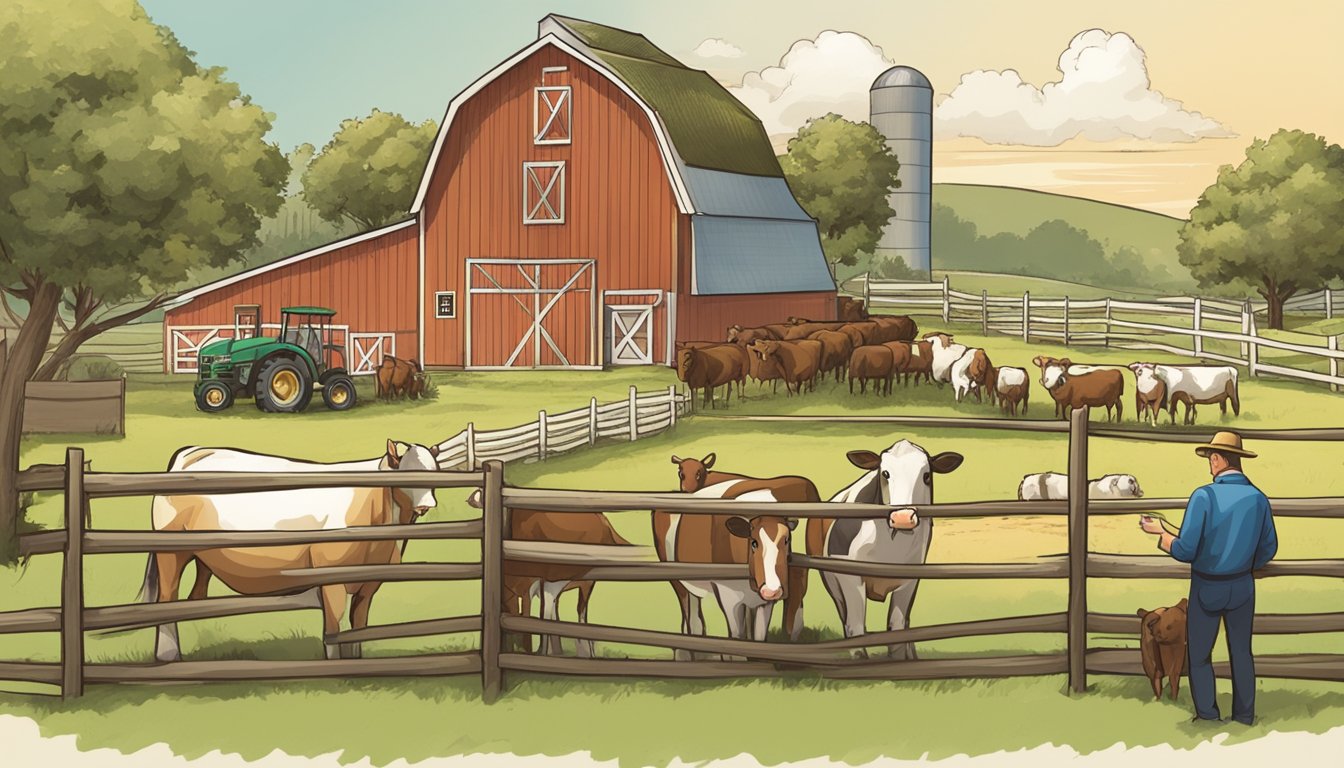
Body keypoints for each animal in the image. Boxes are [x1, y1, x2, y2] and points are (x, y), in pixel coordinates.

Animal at [145, 441, 443, 664]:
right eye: (408, 471)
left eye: (434, 471)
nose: (428, 504)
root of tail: (192, 452)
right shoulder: (331, 580)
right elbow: (333, 629)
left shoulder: (367, 585)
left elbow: (358, 628)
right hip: (170, 553)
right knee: (167, 599)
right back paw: (168, 656)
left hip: (201, 556)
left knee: (194, 600)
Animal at [653, 454, 811, 659]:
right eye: (753, 542)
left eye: (786, 540)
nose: (772, 590)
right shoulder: (729, 597)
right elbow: (736, 641)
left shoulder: (763, 603)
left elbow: (758, 639)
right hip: (678, 580)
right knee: (692, 618)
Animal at [801, 441, 962, 659]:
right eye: (885, 473)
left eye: (926, 475)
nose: (902, 517)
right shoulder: (849, 579)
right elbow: (855, 628)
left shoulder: (910, 580)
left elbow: (897, 627)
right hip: (832, 583)